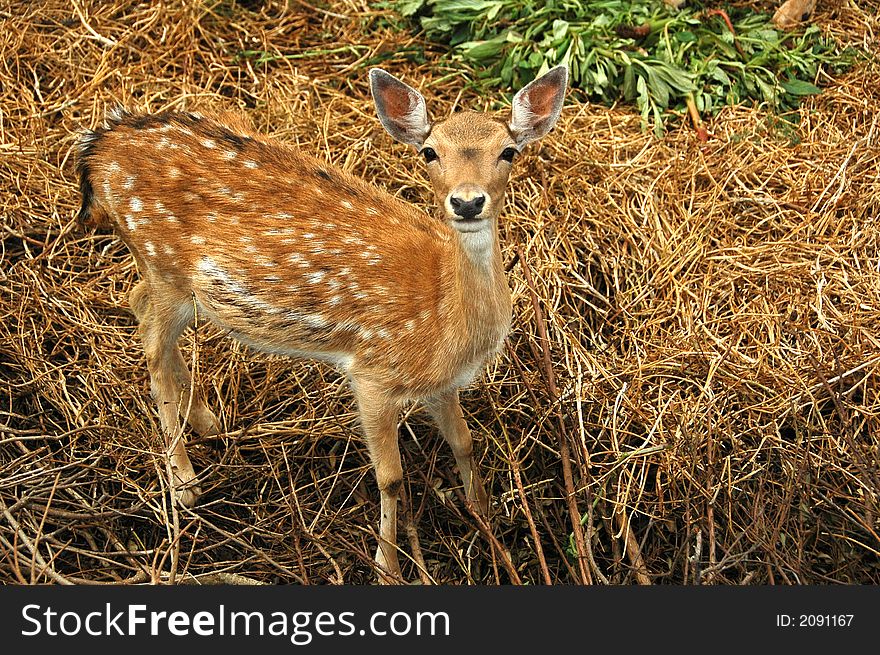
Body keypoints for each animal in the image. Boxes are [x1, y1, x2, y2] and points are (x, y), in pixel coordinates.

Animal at [77, 64, 572, 580]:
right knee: (152, 348)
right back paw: (184, 481)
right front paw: (387, 567)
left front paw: (487, 518)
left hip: (172, 279)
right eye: (430, 151)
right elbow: (391, 478)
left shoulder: (441, 384)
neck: (442, 317)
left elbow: (465, 443)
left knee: (137, 304)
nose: (468, 202)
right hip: (163, 261)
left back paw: (208, 422)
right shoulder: (372, 373)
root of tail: (99, 144)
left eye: (508, 151)